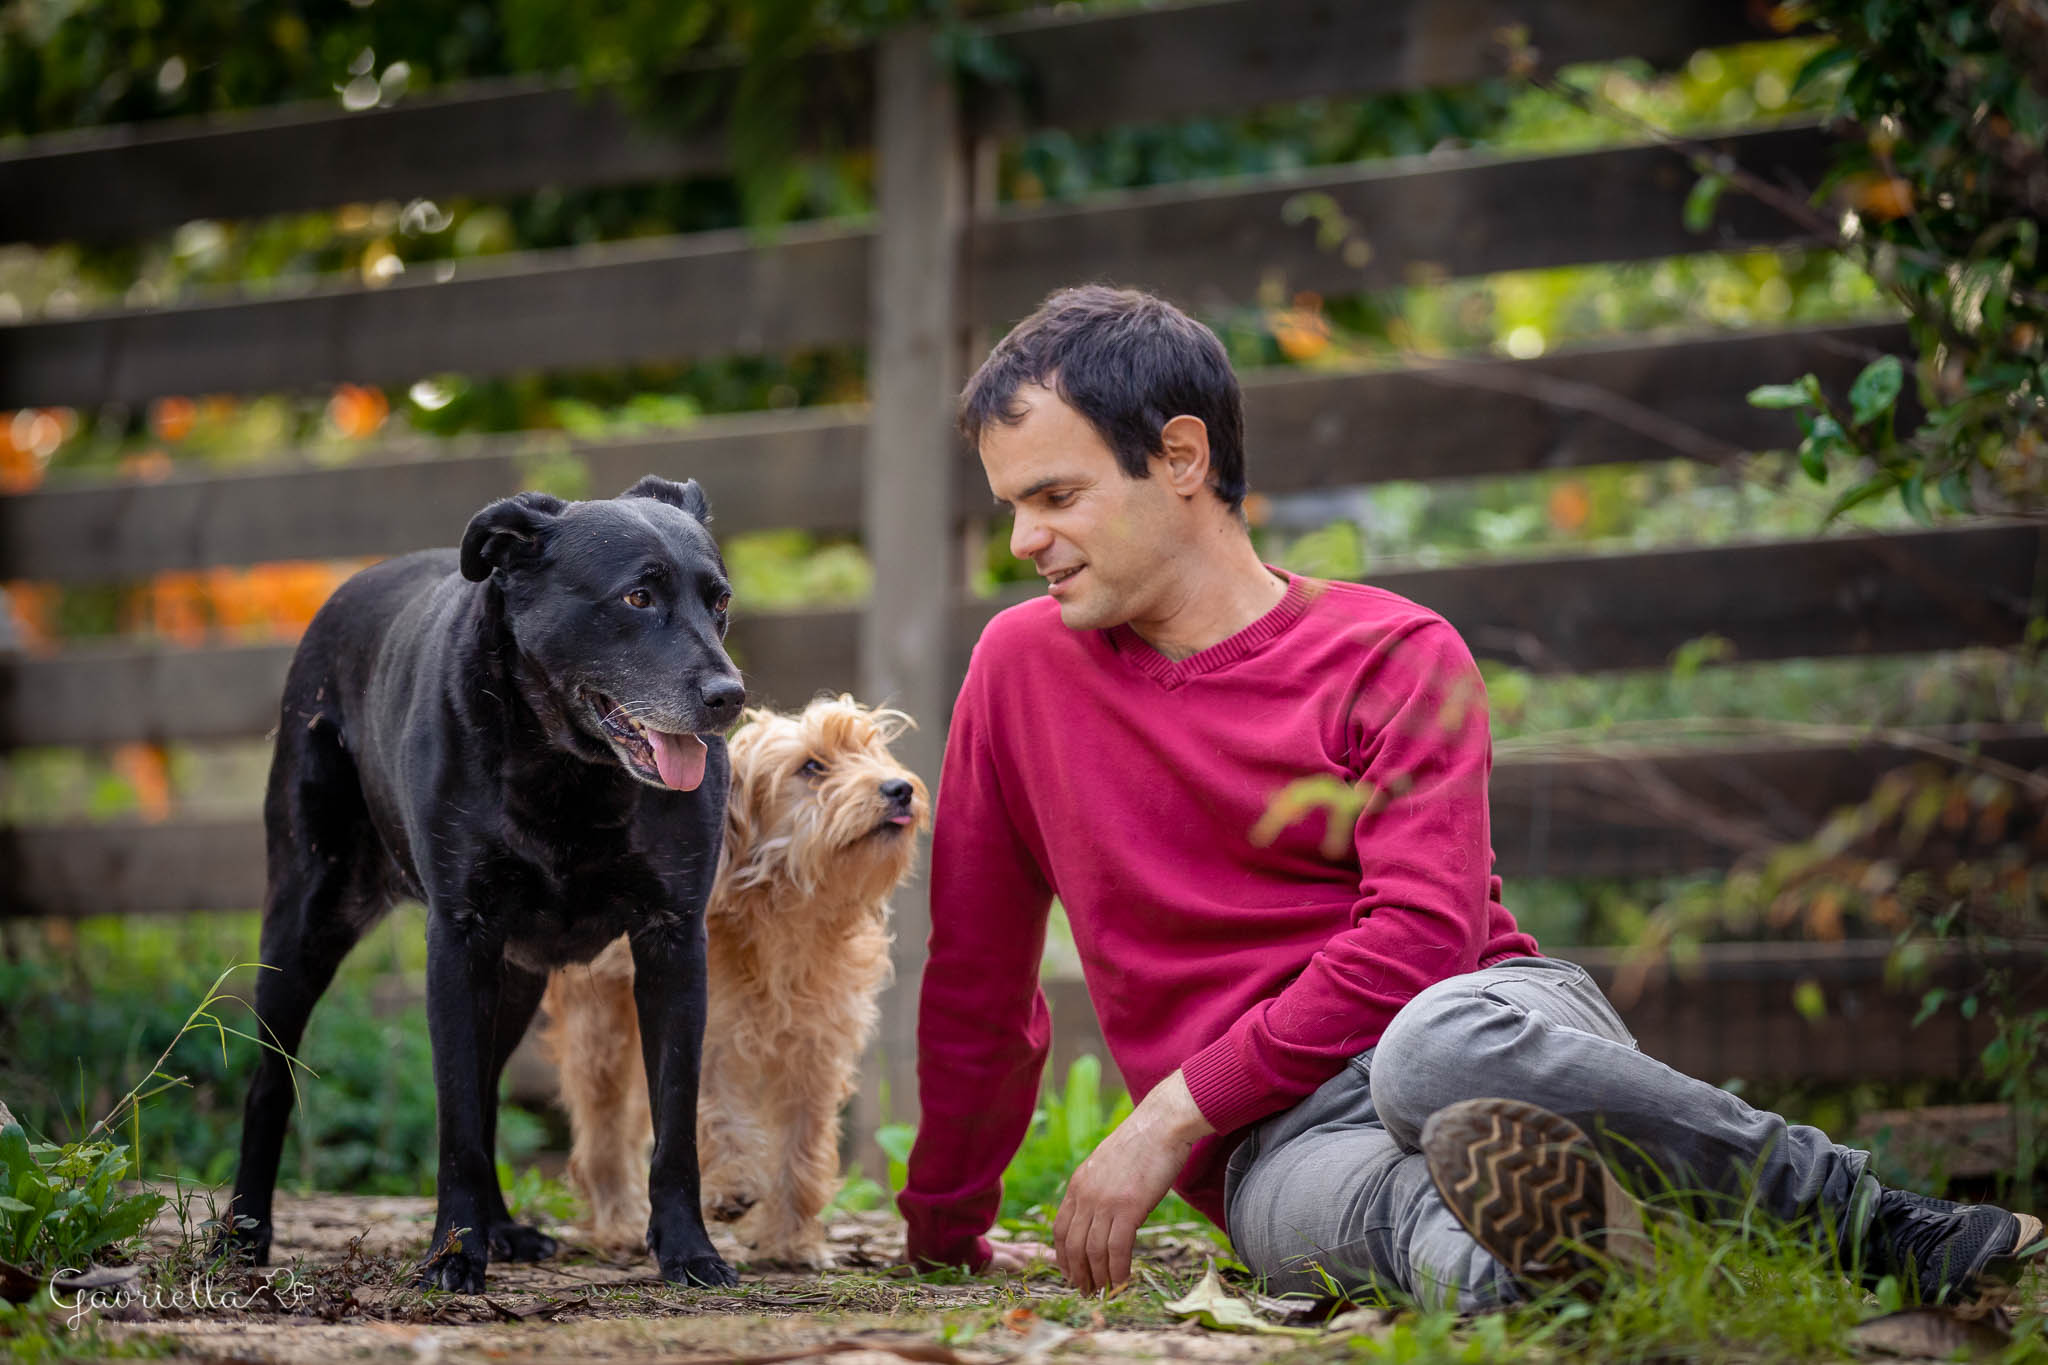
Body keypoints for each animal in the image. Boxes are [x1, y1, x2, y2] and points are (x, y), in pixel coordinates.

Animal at [222, 474, 745, 1285]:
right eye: (638, 597)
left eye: (719, 601)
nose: (729, 696)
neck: (569, 769)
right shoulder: (459, 941)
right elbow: (456, 1118)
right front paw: (455, 1251)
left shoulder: (674, 943)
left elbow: (674, 1117)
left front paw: (689, 1248)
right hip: (305, 921)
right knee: (269, 1082)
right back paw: (244, 1233)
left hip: (517, 972)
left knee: (493, 1084)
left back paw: (504, 1229)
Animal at [540, 699, 933, 1277]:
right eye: (812, 767)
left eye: (870, 752)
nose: (899, 788)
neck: (783, 918)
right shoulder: (709, 1035)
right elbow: (716, 1115)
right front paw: (732, 1188)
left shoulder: (816, 1055)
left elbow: (801, 1150)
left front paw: (790, 1242)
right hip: (601, 1038)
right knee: (603, 1137)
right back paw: (617, 1225)